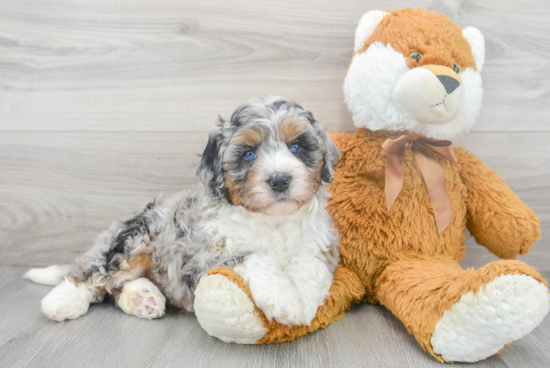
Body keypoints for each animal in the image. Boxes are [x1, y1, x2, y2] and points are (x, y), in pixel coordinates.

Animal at [27, 96, 344, 326]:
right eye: (248, 154)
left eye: (297, 147)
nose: (280, 180)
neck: (273, 220)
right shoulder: (209, 254)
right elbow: (255, 259)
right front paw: (285, 299)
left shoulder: (320, 246)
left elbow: (311, 267)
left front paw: (304, 300)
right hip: (131, 237)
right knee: (94, 273)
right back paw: (61, 301)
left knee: (116, 287)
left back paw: (144, 299)